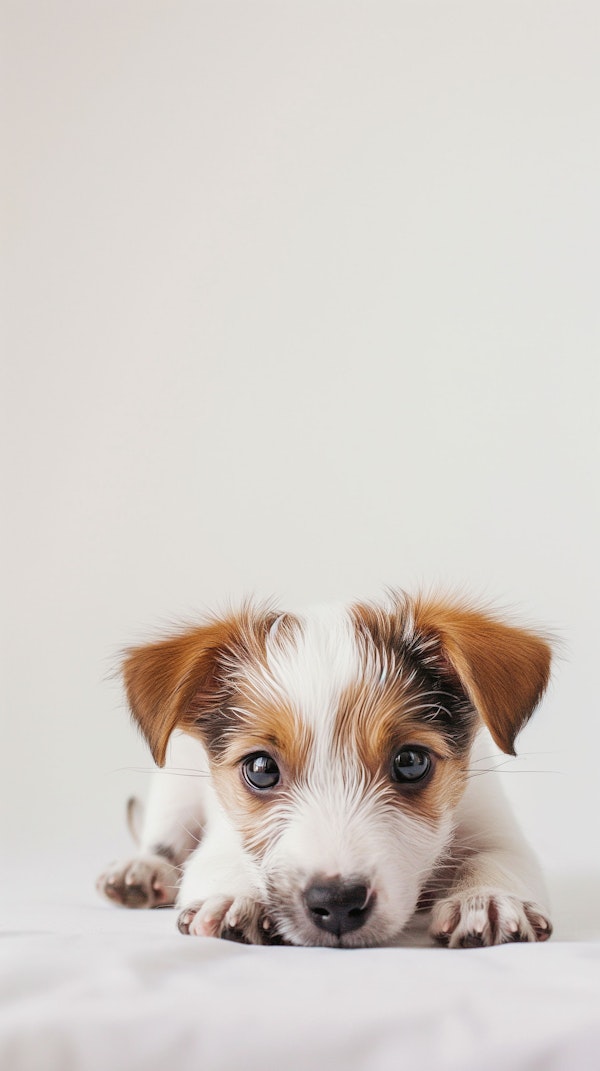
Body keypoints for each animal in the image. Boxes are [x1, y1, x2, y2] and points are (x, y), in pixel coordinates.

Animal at [97, 591, 552, 951]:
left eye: (411, 762)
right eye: (261, 768)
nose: (337, 903)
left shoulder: (496, 828)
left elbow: (495, 860)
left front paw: (487, 900)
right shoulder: (222, 837)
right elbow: (221, 862)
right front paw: (234, 897)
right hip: (175, 786)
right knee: (161, 840)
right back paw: (140, 870)